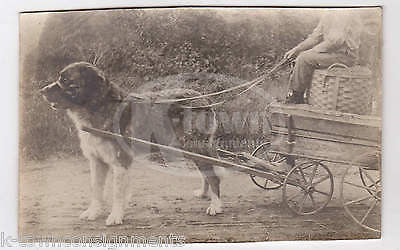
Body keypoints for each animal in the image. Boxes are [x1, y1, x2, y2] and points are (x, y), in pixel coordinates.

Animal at [41, 62, 223, 225]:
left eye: (65, 80)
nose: (41, 91)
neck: (98, 107)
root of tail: (204, 99)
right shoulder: (97, 161)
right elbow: (96, 189)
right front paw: (93, 212)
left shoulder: (121, 161)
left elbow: (117, 192)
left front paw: (115, 216)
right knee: (206, 173)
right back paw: (203, 193)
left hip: (196, 147)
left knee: (213, 177)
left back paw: (215, 205)